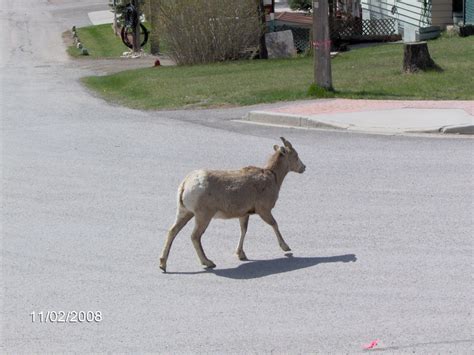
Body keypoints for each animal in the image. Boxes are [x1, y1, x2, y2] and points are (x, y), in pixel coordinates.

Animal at [160, 138, 308, 272]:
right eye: (295, 155)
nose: (304, 167)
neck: (273, 176)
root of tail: (185, 185)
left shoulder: (244, 214)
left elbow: (243, 230)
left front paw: (241, 255)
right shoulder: (264, 211)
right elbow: (274, 224)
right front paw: (286, 247)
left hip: (185, 212)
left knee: (172, 231)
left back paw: (163, 264)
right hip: (203, 216)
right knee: (195, 236)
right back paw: (208, 263)